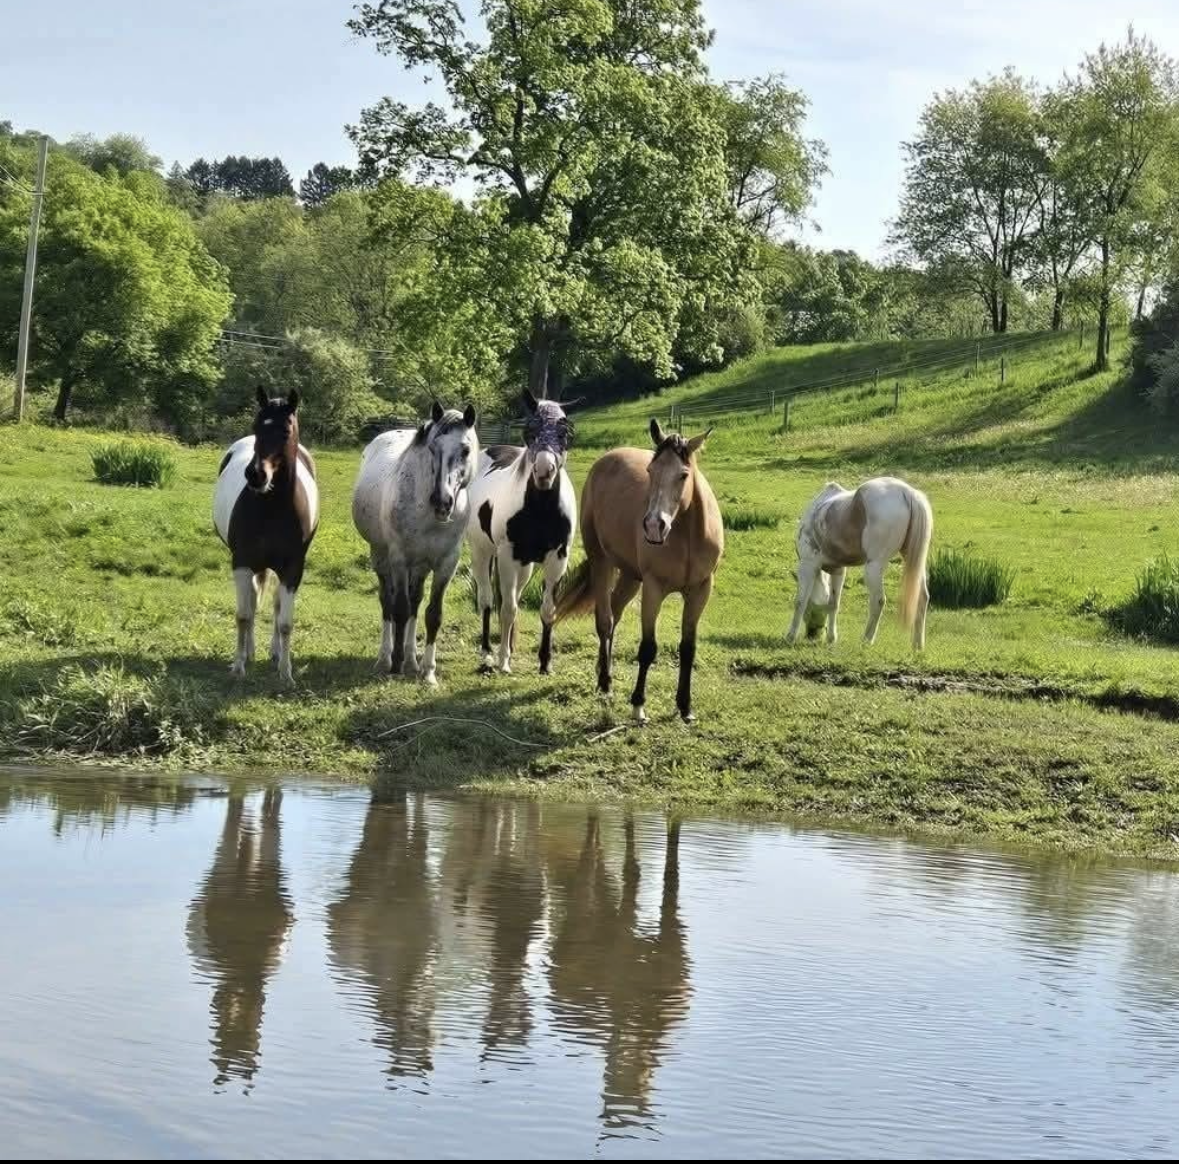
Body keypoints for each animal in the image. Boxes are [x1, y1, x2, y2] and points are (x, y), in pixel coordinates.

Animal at [213, 387, 319, 686]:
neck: (273, 508)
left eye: (286, 430)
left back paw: (274, 653)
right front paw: (238, 666)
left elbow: (285, 621)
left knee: (274, 604)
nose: (256, 474)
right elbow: (243, 615)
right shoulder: (241, 563)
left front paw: (286, 672)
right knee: (251, 600)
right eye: (257, 426)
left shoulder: (293, 569)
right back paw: (249, 652)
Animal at [352, 401, 478, 686]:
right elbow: (399, 609)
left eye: (465, 450)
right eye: (432, 448)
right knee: (388, 602)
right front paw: (395, 665)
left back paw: (411, 659)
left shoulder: (446, 564)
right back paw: (386, 658)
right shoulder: (399, 559)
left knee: (415, 602)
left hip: (419, 567)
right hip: (381, 556)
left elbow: (432, 614)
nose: (442, 502)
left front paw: (428, 672)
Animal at [467, 389, 577, 674]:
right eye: (530, 430)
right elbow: (507, 609)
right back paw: (488, 651)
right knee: (487, 599)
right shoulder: (508, 556)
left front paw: (545, 663)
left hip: (525, 565)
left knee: (512, 595)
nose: (544, 471)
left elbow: (547, 610)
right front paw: (504, 661)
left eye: (565, 433)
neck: (541, 510)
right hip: (482, 553)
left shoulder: (557, 558)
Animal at [556, 420, 723, 724]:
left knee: (614, 614)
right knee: (605, 620)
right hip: (602, 562)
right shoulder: (654, 588)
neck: (688, 537)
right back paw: (605, 683)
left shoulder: (700, 590)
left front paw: (685, 707)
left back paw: (603, 671)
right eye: (650, 471)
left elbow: (688, 648)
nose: (654, 526)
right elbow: (648, 648)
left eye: (683, 475)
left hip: (630, 576)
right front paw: (638, 705)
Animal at [786, 476, 933, 650]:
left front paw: (790, 637)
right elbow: (833, 603)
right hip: (913, 561)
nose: (812, 635)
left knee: (879, 600)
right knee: (922, 598)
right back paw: (918, 646)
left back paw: (866, 640)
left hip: (874, 566)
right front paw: (831, 639)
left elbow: (800, 601)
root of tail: (907, 492)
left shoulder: (807, 566)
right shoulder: (838, 571)